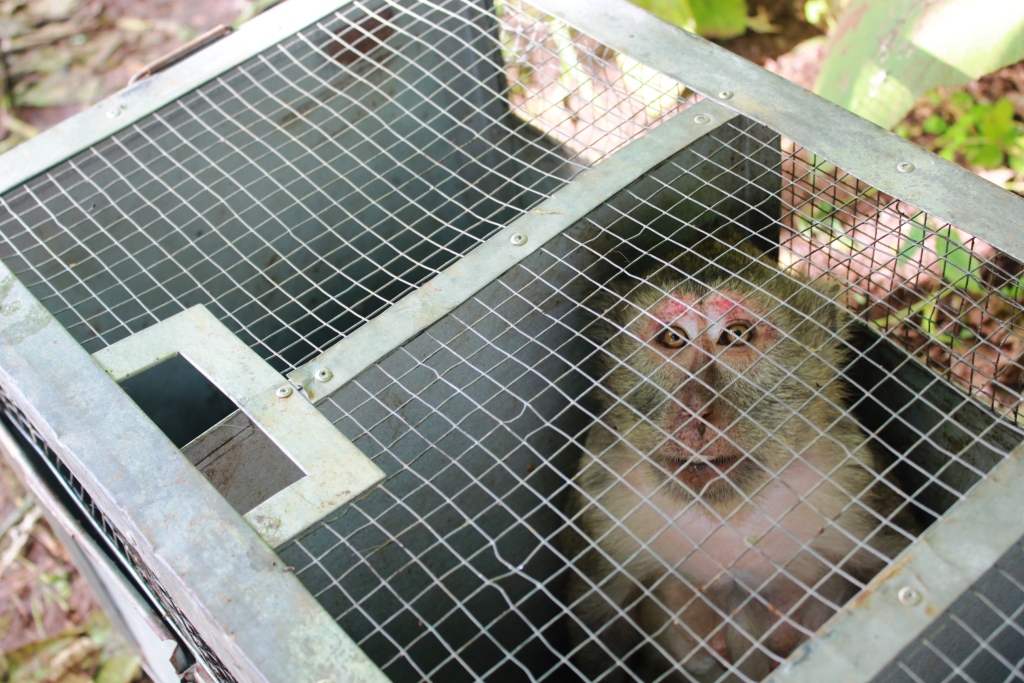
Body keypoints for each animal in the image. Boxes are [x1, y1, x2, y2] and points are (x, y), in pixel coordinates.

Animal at [562, 233, 917, 682]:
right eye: (673, 338)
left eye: (735, 335)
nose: (695, 412)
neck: (727, 512)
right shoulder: (605, 495)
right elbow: (598, 624)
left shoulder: (852, 482)